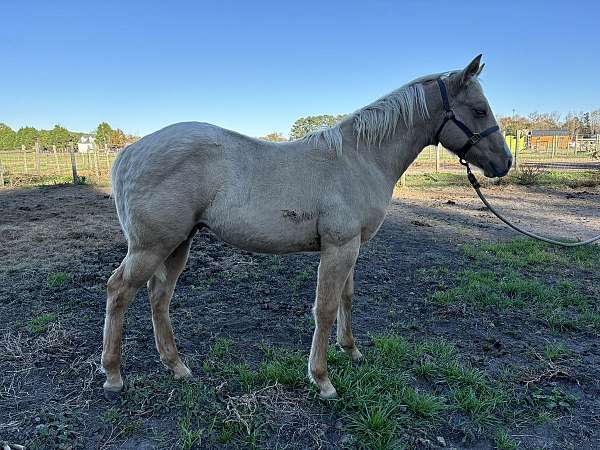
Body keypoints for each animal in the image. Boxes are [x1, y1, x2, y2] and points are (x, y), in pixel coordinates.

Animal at [102, 55, 510, 398]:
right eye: (479, 109)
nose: (504, 162)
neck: (360, 158)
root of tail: (129, 153)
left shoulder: (351, 247)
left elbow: (346, 298)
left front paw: (351, 351)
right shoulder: (339, 246)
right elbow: (325, 307)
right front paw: (322, 379)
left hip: (179, 244)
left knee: (159, 296)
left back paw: (177, 366)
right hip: (152, 246)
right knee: (119, 290)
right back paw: (114, 375)